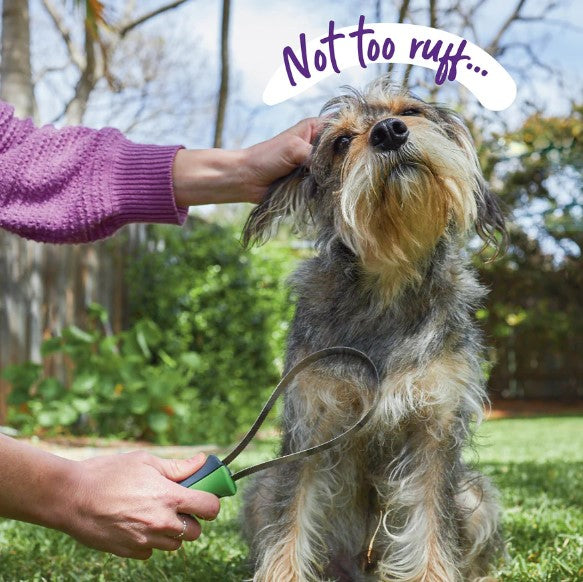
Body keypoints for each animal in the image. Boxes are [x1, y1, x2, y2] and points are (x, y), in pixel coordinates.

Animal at [242, 78, 506, 582]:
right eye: (342, 141)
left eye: (411, 111)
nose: (388, 131)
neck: (388, 279)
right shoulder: (312, 421)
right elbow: (290, 520)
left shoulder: (435, 426)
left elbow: (431, 524)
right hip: (259, 487)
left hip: (477, 495)